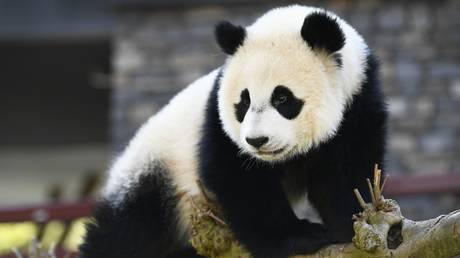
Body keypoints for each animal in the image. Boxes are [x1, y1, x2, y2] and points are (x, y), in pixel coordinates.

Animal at [80, 4, 388, 258]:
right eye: (244, 101)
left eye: (282, 98)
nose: (257, 140)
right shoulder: (217, 124)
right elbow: (240, 179)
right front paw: (301, 237)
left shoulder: (358, 102)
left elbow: (347, 170)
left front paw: (350, 226)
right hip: (156, 175)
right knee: (127, 233)